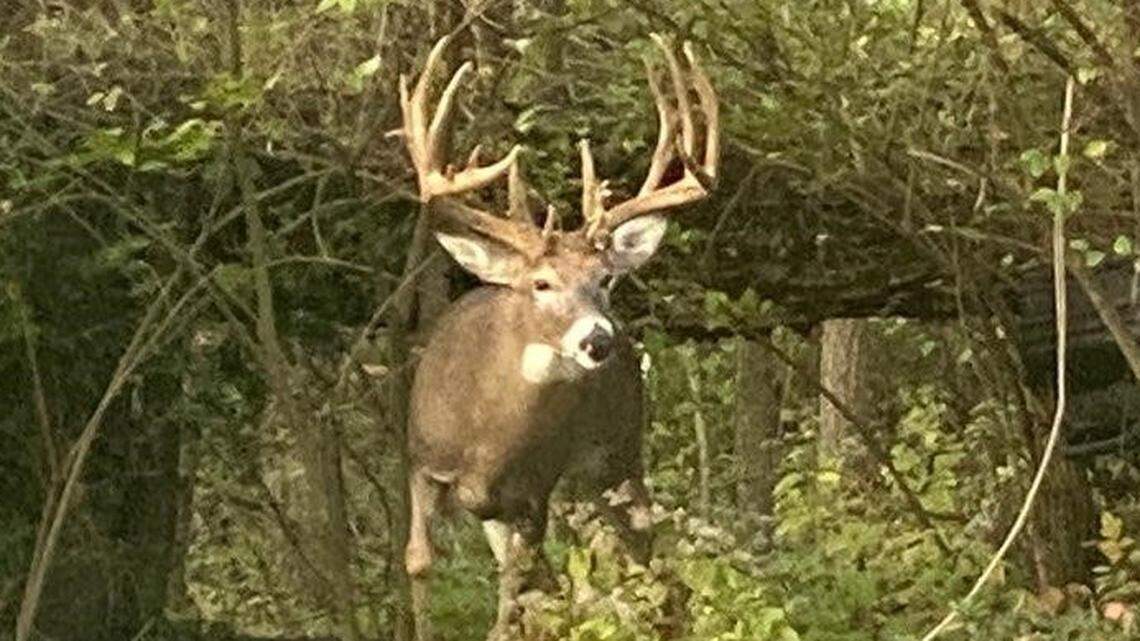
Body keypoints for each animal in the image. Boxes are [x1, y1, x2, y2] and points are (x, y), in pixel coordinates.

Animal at [394, 33, 718, 641]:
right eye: (541, 283)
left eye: (606, 279)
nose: (599, 340)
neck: (485, 435)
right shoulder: (422, 462)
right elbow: (420, 563)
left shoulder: (534, 489)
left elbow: (517, 595)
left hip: (617, 452)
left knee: (643, 554)